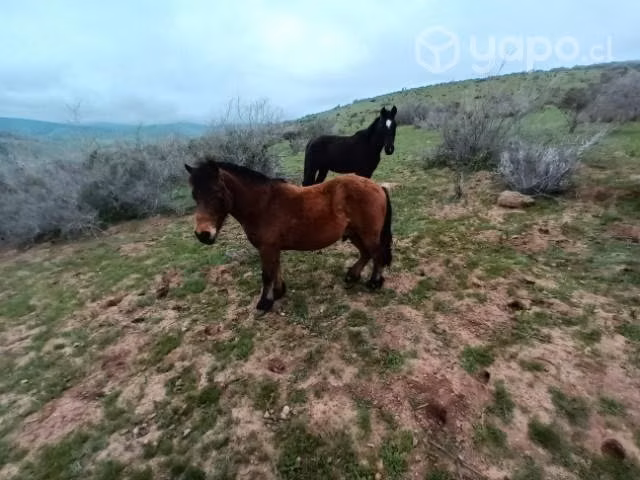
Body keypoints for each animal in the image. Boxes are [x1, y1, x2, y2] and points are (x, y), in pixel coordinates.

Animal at [184, 156, 393, 313]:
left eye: (218, 194)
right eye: (194, 195)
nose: (203, 234)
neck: (263, 204)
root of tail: (377, 187)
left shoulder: (267, 248)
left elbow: (267, 274)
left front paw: (264, 303)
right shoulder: (272, 248)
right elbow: (275, 269)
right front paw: (278, 293)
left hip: (368, 234)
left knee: (376, 254)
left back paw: (374, 283)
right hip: (354, 233)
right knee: (366, 254)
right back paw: (352, 276)